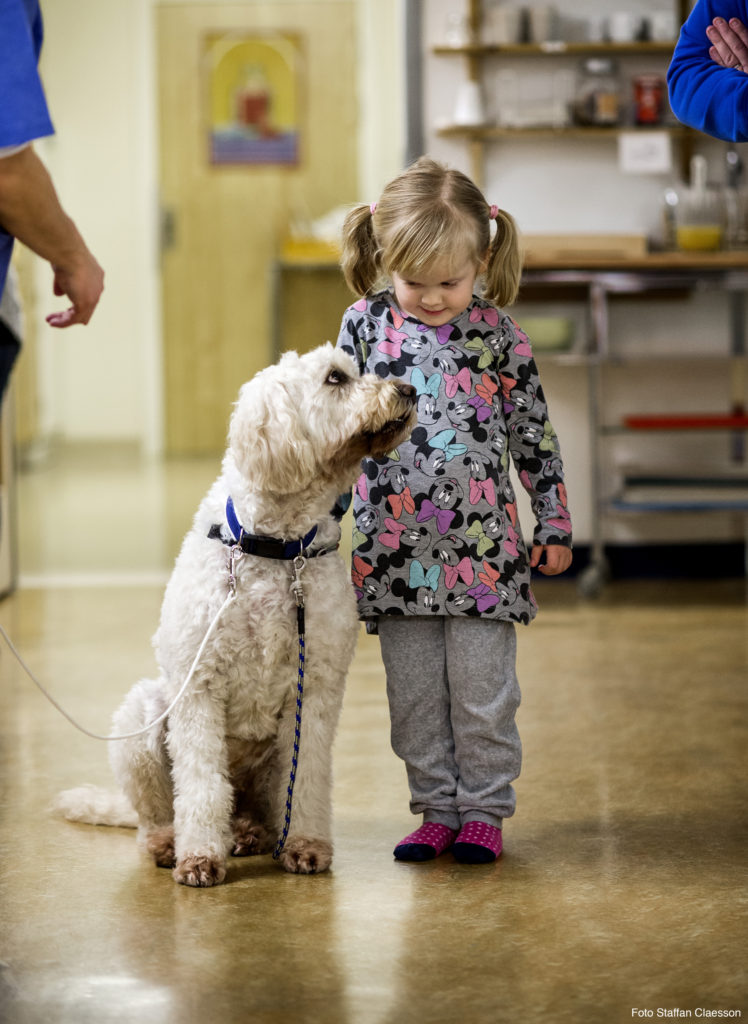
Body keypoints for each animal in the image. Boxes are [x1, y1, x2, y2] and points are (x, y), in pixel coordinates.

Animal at [58, 346, 416, 888]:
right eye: (335, 378)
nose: (409, 390)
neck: (276, 547)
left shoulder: (315, 689)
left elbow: (307, 776)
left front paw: (306, 846)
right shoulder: (199, 687)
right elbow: (203, 785)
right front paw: (199, 858)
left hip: (263, 769)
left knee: (262, 810)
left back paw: (251, 834)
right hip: (142, 722)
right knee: (157, 815)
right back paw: (172, 842)